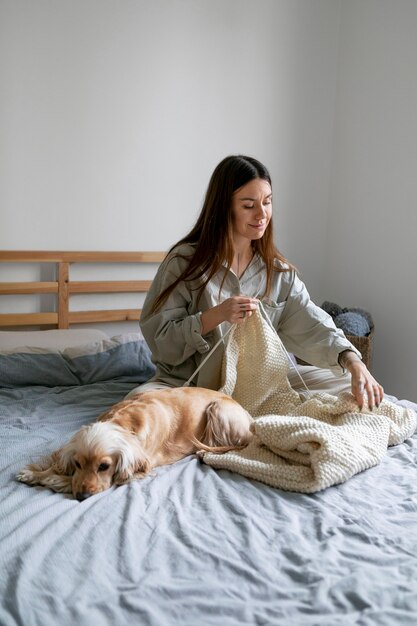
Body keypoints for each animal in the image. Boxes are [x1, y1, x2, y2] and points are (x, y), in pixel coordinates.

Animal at [17, 386, 250, 502]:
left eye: (104, 466)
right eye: (77, 464)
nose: (82, 497)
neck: (122, 422)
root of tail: (248, 416)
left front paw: (50, 479)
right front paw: (35, 473)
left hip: (218, 409)